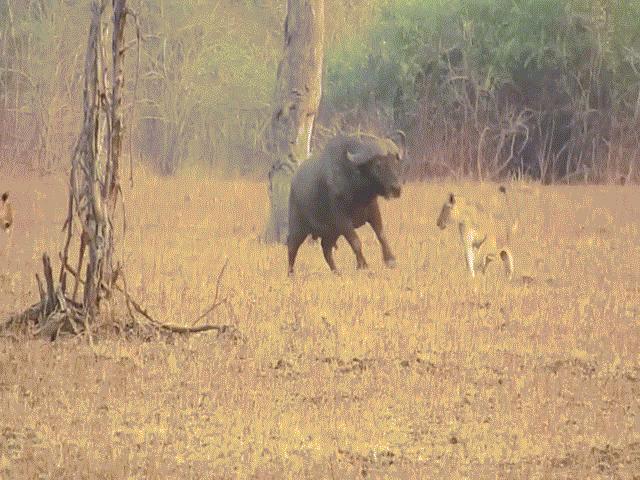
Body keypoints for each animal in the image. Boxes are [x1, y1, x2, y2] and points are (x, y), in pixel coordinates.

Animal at [286, 132, 402, 274]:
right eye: (378, 164)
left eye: (395, 161)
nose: (396, 188)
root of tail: (293, 183)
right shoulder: (342, 220)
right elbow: (355, 241)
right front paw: (362, 265)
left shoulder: (373, 210)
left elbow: (381, 234)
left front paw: (390, 260)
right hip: (298, 227)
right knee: (292, 246)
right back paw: (290, 273)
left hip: (331, 232)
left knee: (326, 248)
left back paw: (336, 271)